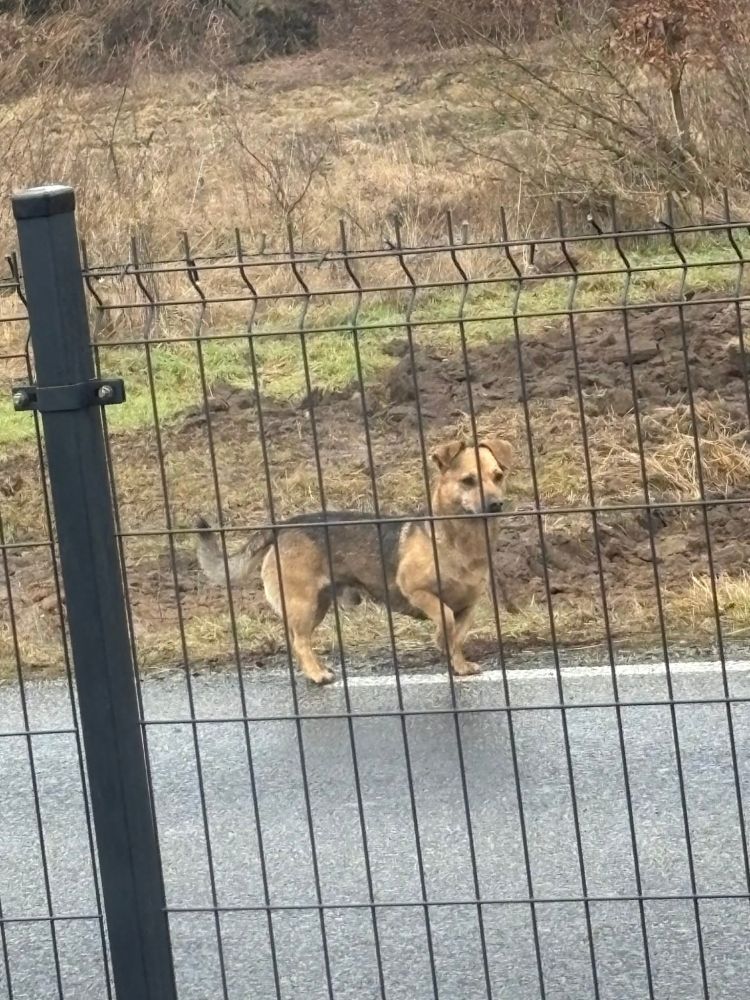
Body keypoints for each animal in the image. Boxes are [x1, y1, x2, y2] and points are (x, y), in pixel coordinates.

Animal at [195, 435, 513, 685]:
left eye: (498, 477)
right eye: (468, 481)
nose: (497, 504)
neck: (460, 541)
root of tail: (284, 524)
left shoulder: (469, 606)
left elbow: (458, 634)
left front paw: (457, 662)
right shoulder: (416, 590)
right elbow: (445, 617)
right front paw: (441, 640)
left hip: (317, 606)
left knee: (298, 641)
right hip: (303, 603)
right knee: (300, 642)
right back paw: (317, 674)